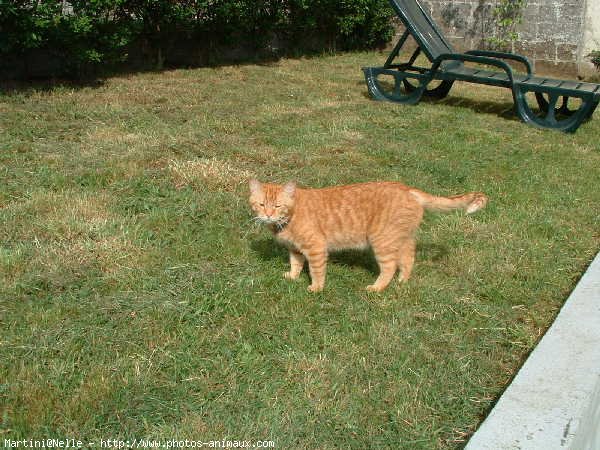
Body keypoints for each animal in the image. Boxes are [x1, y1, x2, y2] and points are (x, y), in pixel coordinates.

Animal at [248, 179, 488, 292]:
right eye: (261, 205)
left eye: (277, 206)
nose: (268, 215)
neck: (289, 219)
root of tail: (408, 188)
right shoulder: (295, 249)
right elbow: (296, 264)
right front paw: (292, 276)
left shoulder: (315, 248)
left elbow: (316, 271)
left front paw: (316, 288)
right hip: (401, 240)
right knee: (408, 260)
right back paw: (402, 281)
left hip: (382, 242)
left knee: (390, 267)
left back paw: (377, 288)